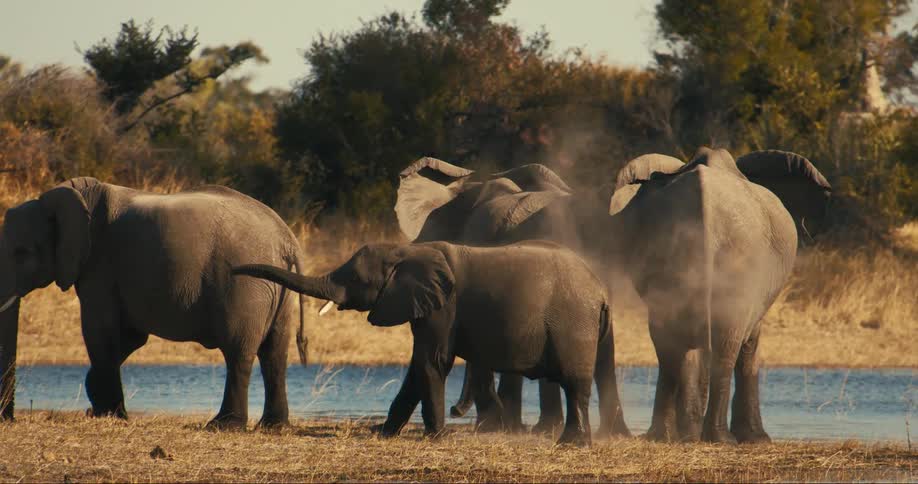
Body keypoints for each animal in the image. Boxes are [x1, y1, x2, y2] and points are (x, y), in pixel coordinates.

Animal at [0, 177, 307, 429]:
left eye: (22, 252)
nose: (8, 419)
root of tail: (287, 241)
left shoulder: (99, 267)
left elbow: (100, 332)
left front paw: (111, 415)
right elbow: (130, 338)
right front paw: (100, 409)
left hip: (244, 287)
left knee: (238, 351)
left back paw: (224, 425)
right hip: (277, 290)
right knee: (275, 354)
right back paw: (273, 426)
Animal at [233, 240, 626, 446]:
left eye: (357, 278)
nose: (234, 271)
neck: (407, 251)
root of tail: (601, 290)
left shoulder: (443, 308)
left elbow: (431, 362)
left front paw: (436, 437)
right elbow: (414, 370)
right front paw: (383, 434)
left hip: (574, 324)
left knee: (575, 384)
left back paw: (572, 443)